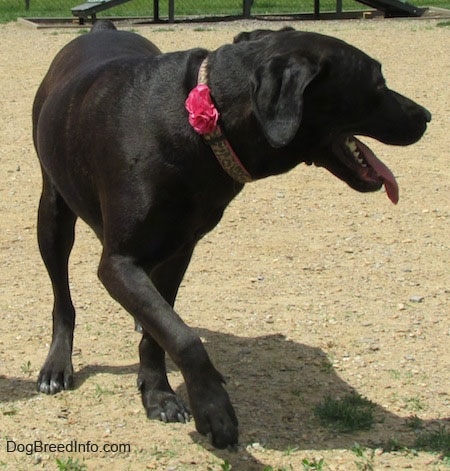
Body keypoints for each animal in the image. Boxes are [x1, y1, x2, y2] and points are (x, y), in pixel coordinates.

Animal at [33, 21, 430, 450]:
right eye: (377, 83)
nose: (426, 116)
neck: (202, 124)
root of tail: (101, 27)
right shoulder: (119, 261)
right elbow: (183, 336)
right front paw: (214, 410)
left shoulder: (181, 248)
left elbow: (163, 328)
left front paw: (158, 391)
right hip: (53, 213)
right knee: (62, 297)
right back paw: (57, 363)